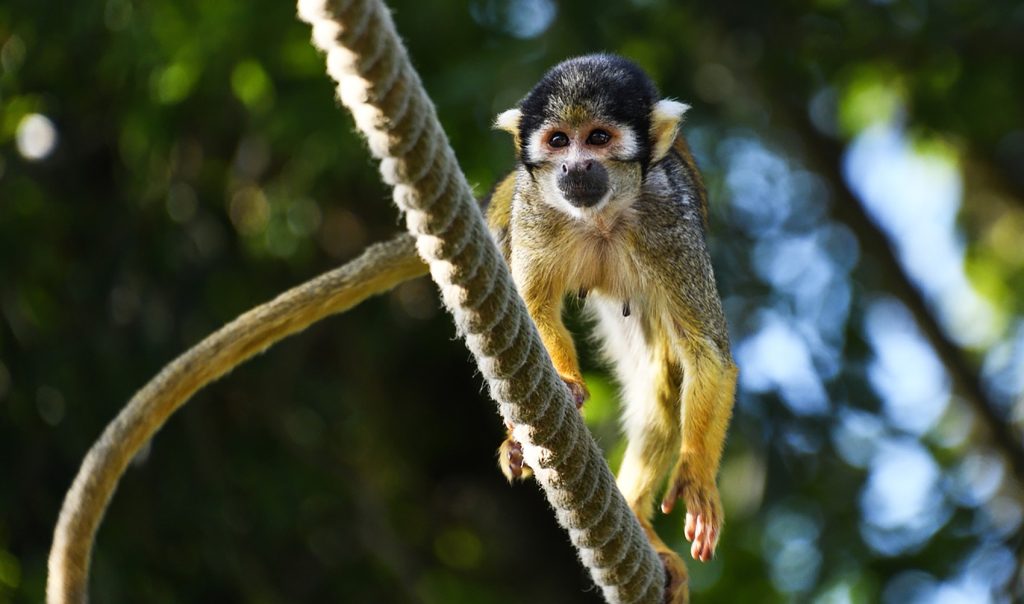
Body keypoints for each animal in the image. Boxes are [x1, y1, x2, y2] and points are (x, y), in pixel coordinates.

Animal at [481, 55, 733, 601]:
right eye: (558, 141)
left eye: (598, 138)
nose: (575, 166)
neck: (598, 216)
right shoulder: (534, 209)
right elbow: (533, 308)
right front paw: (569, 385)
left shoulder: (668, 218)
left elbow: (708, 352)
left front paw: (696, 475)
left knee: (665, 374)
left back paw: (638, 519)